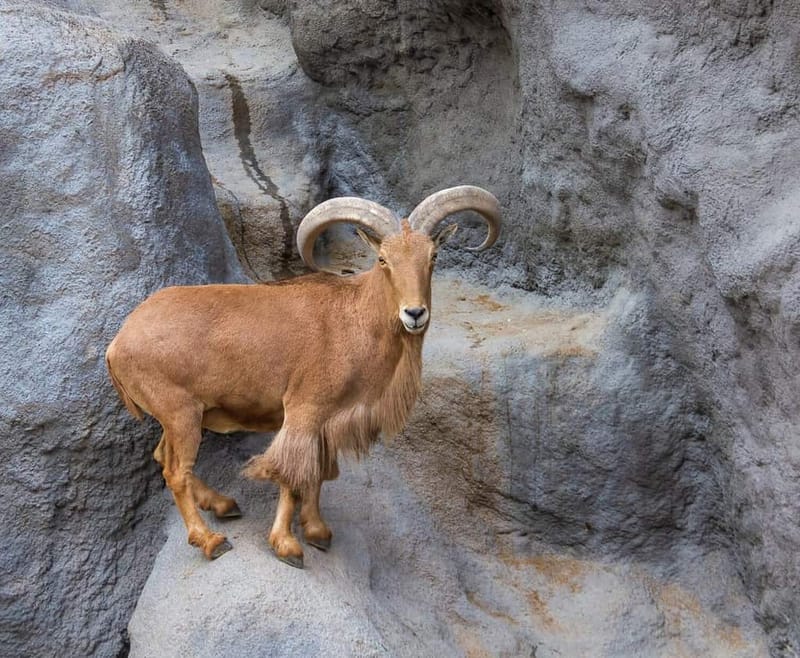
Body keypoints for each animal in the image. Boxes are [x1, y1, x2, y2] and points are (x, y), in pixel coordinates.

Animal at [105, 185, 501, 567]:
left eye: (432, 258)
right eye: (383, 260)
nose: (415, 313)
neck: (354, 317)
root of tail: (117, 343)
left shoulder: (327, 422)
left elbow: (318, 474)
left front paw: (317, 531)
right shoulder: (304, 410)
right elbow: (291, 476)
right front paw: (288, 546)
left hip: (181, 417)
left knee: (163, 457)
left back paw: (223, 504)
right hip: (181, 414)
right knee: (175, 472)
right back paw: (211, 540)